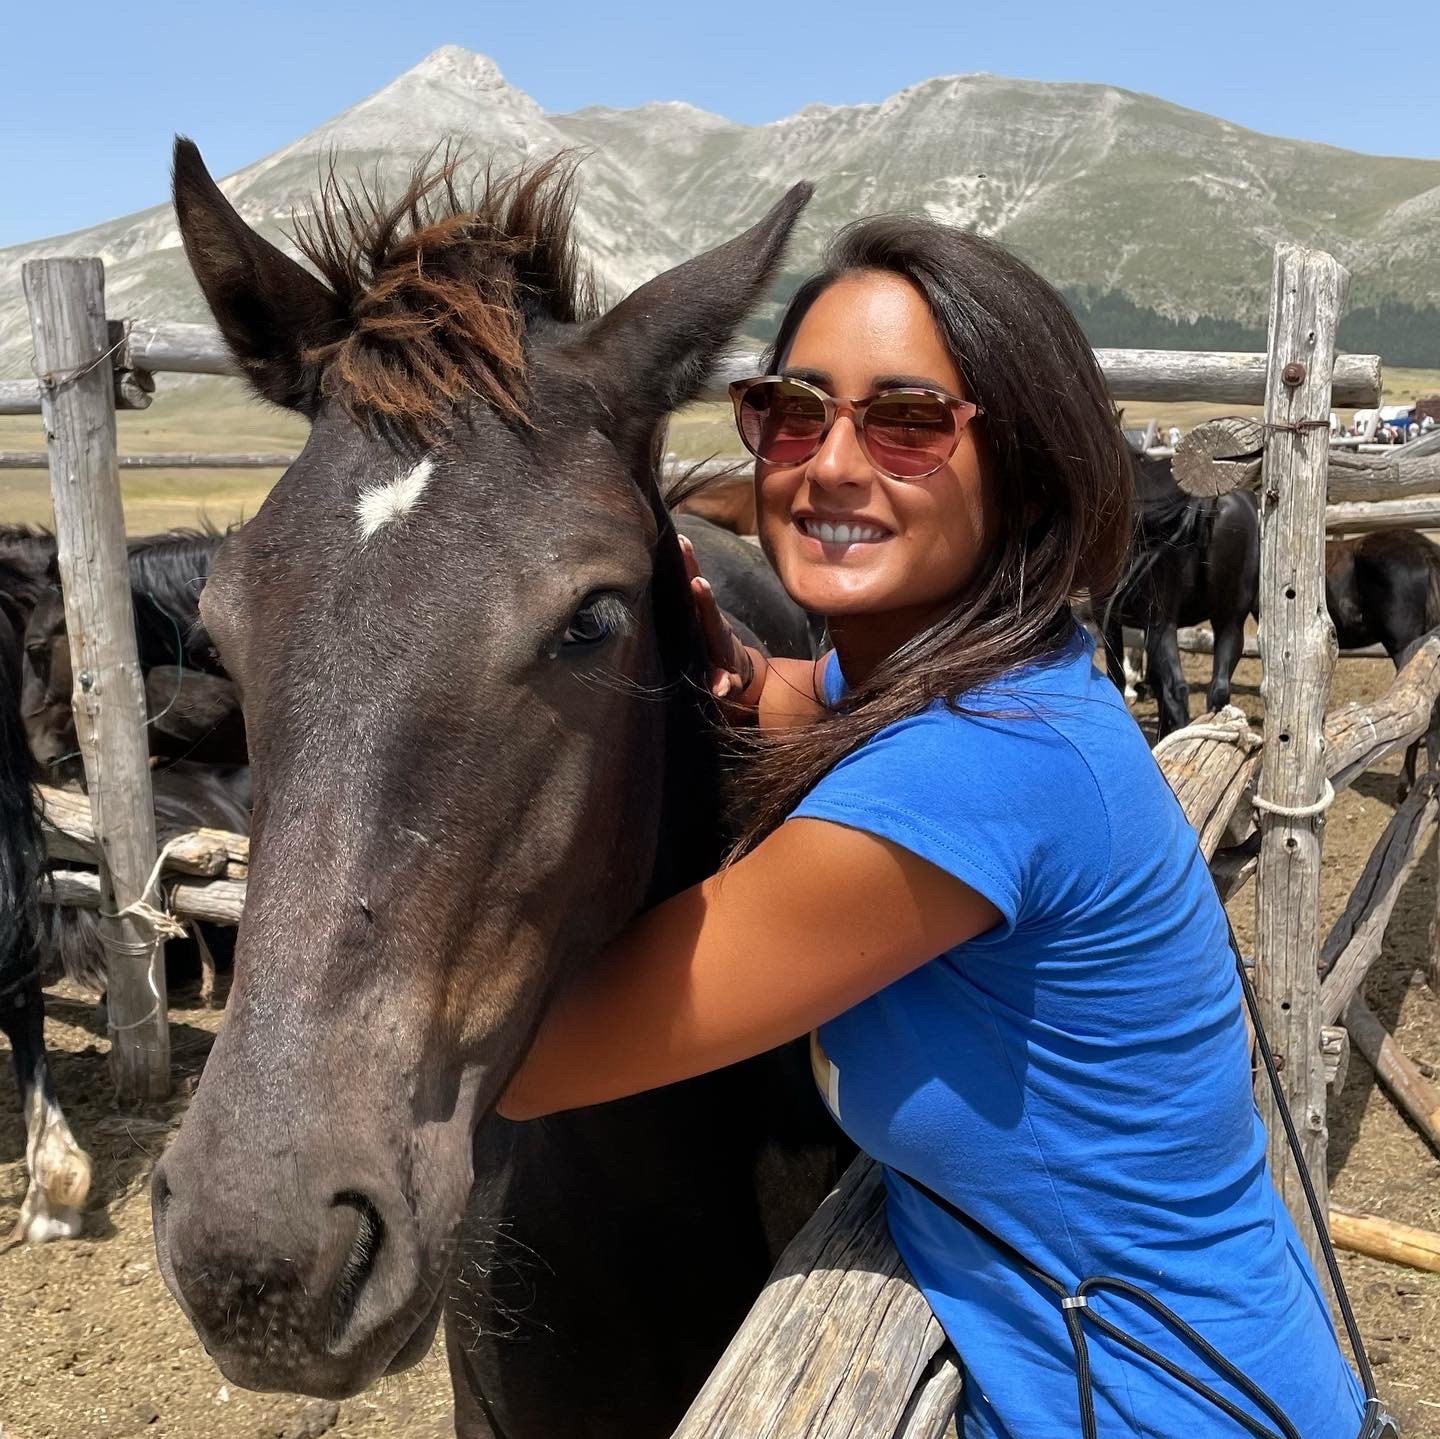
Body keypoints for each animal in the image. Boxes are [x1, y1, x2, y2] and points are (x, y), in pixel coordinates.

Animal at [1100, 451, 1260, 739]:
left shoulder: (1109, 619)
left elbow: (1118, 678)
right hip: (1229, 622)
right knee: (1218, 689)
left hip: (1162, 623)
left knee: (1177, 690)